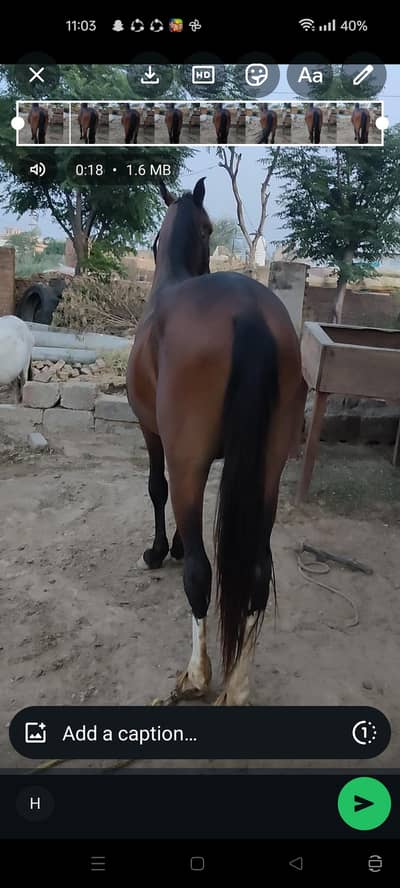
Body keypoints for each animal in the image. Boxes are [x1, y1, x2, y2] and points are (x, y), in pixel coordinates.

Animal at [126, 178, 302, 706]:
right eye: (208, 229)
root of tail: (247, 312)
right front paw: (177, 544)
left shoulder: (154, 435)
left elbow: (156, 489)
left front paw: (160, 550)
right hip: (268, 471)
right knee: (258, 572)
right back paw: (238, 684)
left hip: (188, 459)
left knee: (202, 576)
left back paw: (197, 675)